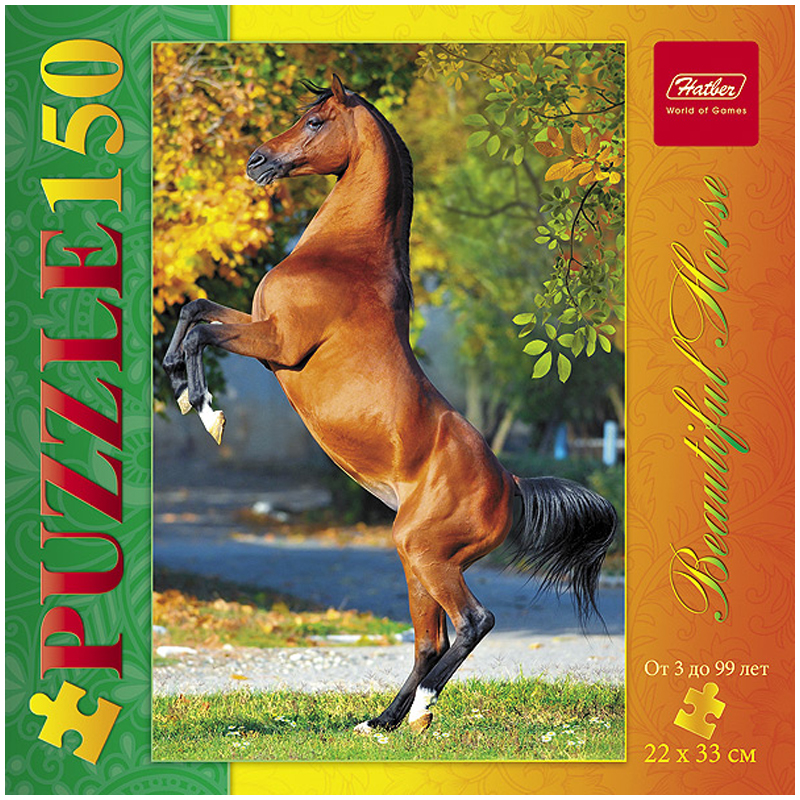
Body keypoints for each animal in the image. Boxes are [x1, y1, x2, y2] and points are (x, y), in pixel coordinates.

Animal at [163, 75, 617, 735]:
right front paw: (176, 378)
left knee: (474, 623)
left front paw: (205, 408)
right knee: (430, 641)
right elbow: (193, 309)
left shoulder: (276, 342)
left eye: (315, 120)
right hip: (417, 559)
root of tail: (510, 485)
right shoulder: (258, 328)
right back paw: (382, 722)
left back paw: (419, 709)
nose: (257, 161)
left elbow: (201, 329)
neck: (344, 255)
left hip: (427, 556)